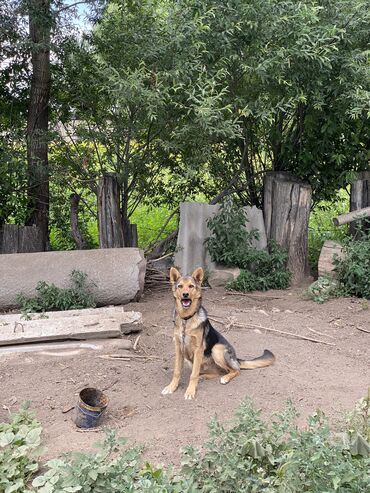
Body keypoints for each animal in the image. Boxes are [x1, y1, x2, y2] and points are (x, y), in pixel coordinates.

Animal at [162, 266, 274, 400]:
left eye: (191, 286)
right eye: (180, 286)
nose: (185, 294)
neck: (186, 320)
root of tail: (236, 358)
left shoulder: (198, 350)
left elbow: (193, 375)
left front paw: (190, 391)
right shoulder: (179, 348)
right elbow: (177, 371)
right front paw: (171, 387)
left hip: (217, 349)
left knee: (235, 370)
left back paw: (224, 378)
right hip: (193, 361)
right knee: (216, 372)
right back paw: (203, 377)